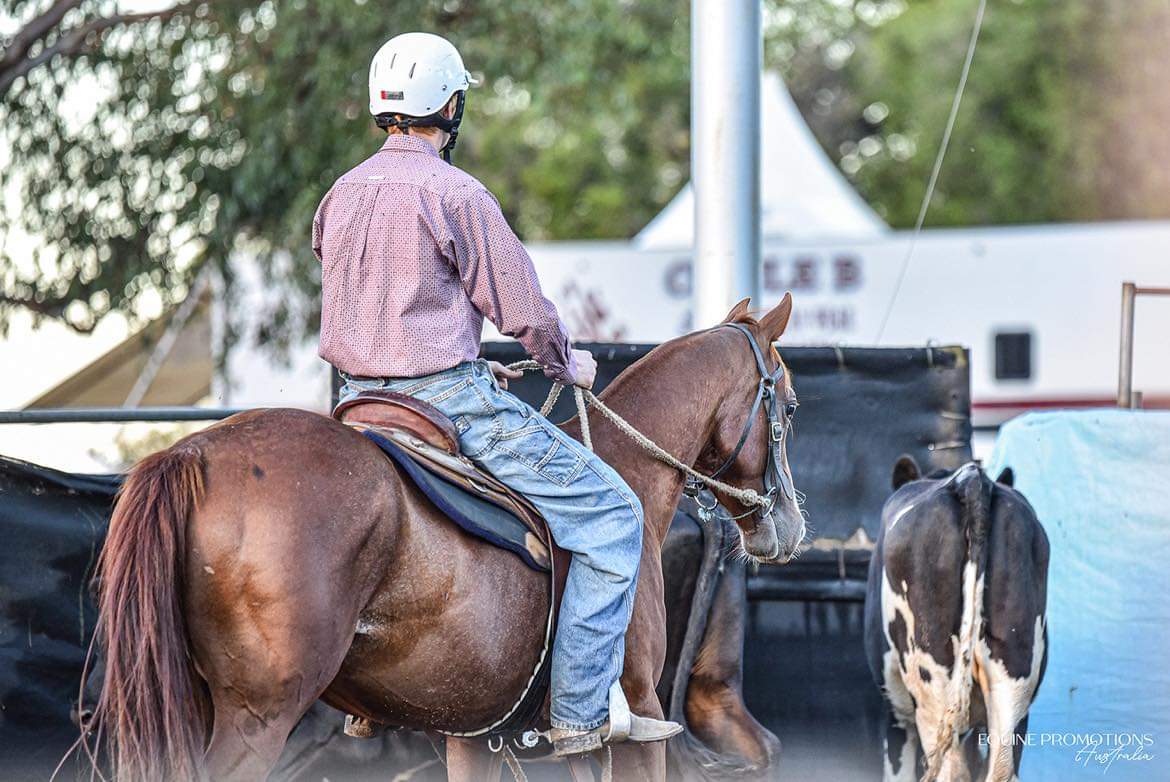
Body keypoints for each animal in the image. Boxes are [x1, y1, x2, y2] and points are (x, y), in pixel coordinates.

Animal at [88, 294, 805, 781]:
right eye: (791, 405)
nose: (789, 524)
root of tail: (193, 455)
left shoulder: (475, 734)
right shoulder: (636, 721)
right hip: (257, 717)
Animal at [864, 458, 1049, 782]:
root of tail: (970, 479)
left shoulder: (897, 713)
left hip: (930, 685)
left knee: (950, 770)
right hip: (1013, 679)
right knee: (1001, 767)